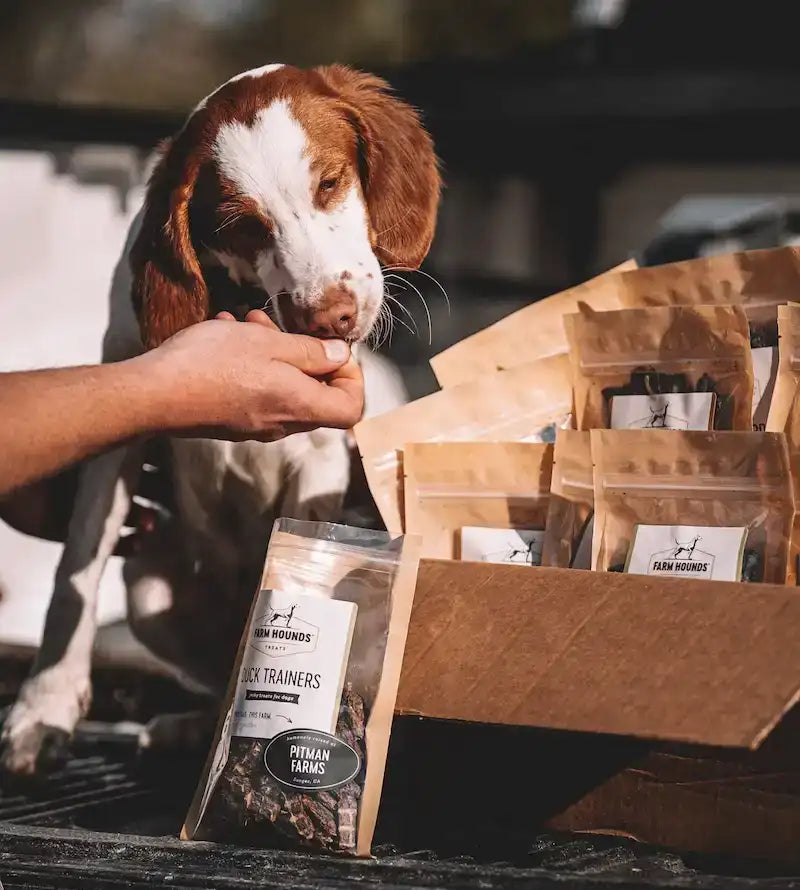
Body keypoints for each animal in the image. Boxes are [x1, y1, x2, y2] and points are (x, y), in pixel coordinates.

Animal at [0, 62, 440, 772]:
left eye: (329, 183)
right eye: (242, 223)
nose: (331, 320)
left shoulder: (321, 458)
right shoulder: (123, 423)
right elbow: (76, 573)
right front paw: (44, 709)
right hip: (148, 587)